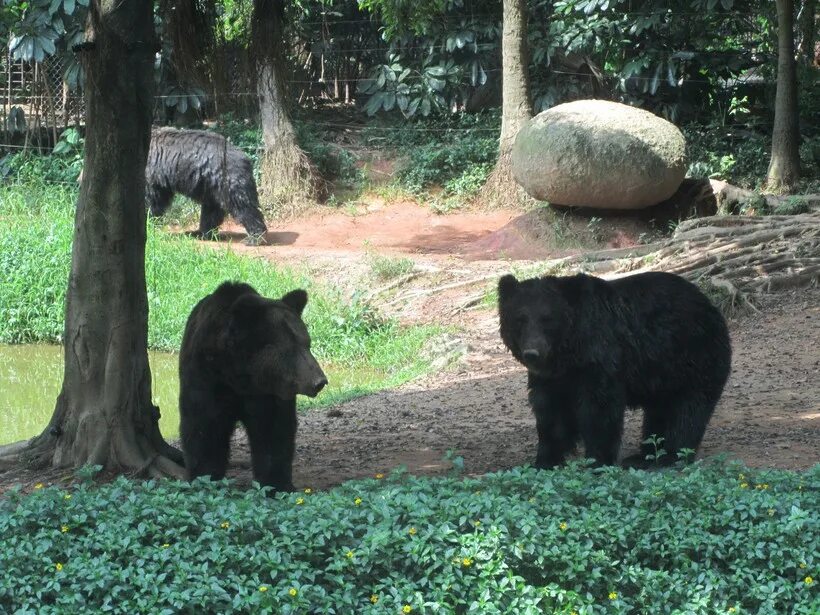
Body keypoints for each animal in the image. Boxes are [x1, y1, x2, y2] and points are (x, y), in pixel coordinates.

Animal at [179, 282, 326, 490]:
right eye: (289, 349)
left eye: (307, 343)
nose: (319, 381)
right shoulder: (206, 377)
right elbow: (204, 427)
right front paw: (205, 477)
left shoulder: (267, 393)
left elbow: (272, 432)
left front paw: (276, 484)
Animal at [496, 272, 732, 470]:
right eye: (520, 319)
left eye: (548, 319)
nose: (532, 353)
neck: (569, 353)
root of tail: (710, 305)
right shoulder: (551, 378)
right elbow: (551, 413)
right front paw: (544, 461)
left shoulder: (602, 356)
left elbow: (599, 408)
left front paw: (597, 460)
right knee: (659, 411)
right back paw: (644, 456)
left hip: (692, 358)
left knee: (687, 408)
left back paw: (671, 456)